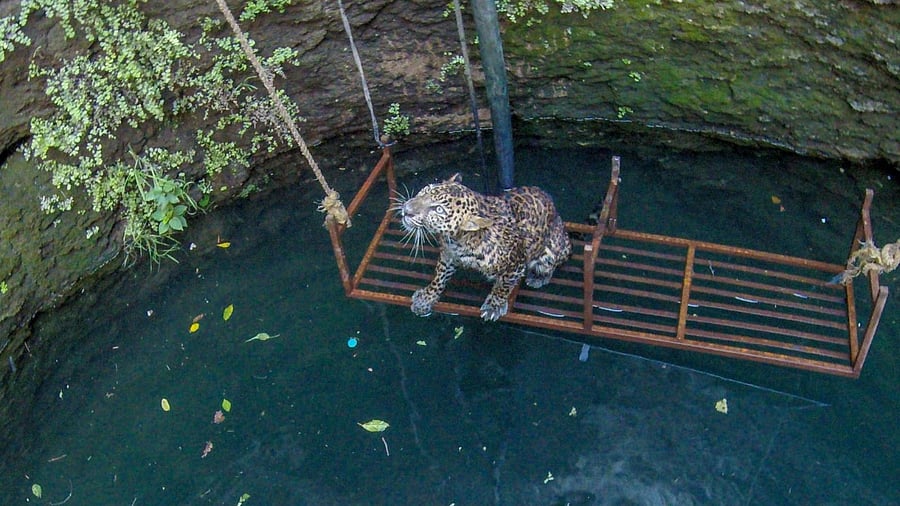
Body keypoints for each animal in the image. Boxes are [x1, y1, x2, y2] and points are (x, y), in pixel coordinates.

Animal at [397, 173, 571, 321]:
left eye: (439, 210)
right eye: (426, 190)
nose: (406, 210)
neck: (458, 240)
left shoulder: (517, 262)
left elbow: (504, 285)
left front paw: (494, 306)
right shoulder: (448, 256)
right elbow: (439, 278)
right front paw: (426, 298)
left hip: (552, 248)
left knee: (551, 264)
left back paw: (537, 277)